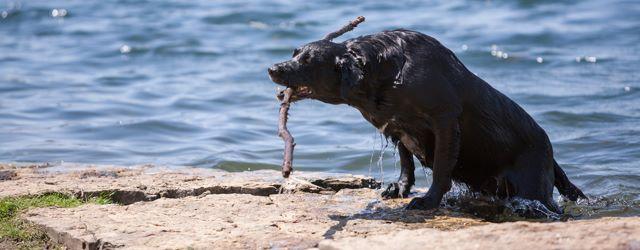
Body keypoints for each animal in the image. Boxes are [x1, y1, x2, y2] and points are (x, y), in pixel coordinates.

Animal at [268, 28, 588, 213]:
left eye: (308, 61)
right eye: (295, 53)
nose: (272, 68)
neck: (387, 72)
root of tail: (551, 153)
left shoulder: (444, 121)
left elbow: (442, 169)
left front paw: (428, 201)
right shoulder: (398, 125)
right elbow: (406, 161)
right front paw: (399, 188)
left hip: (533, 187)